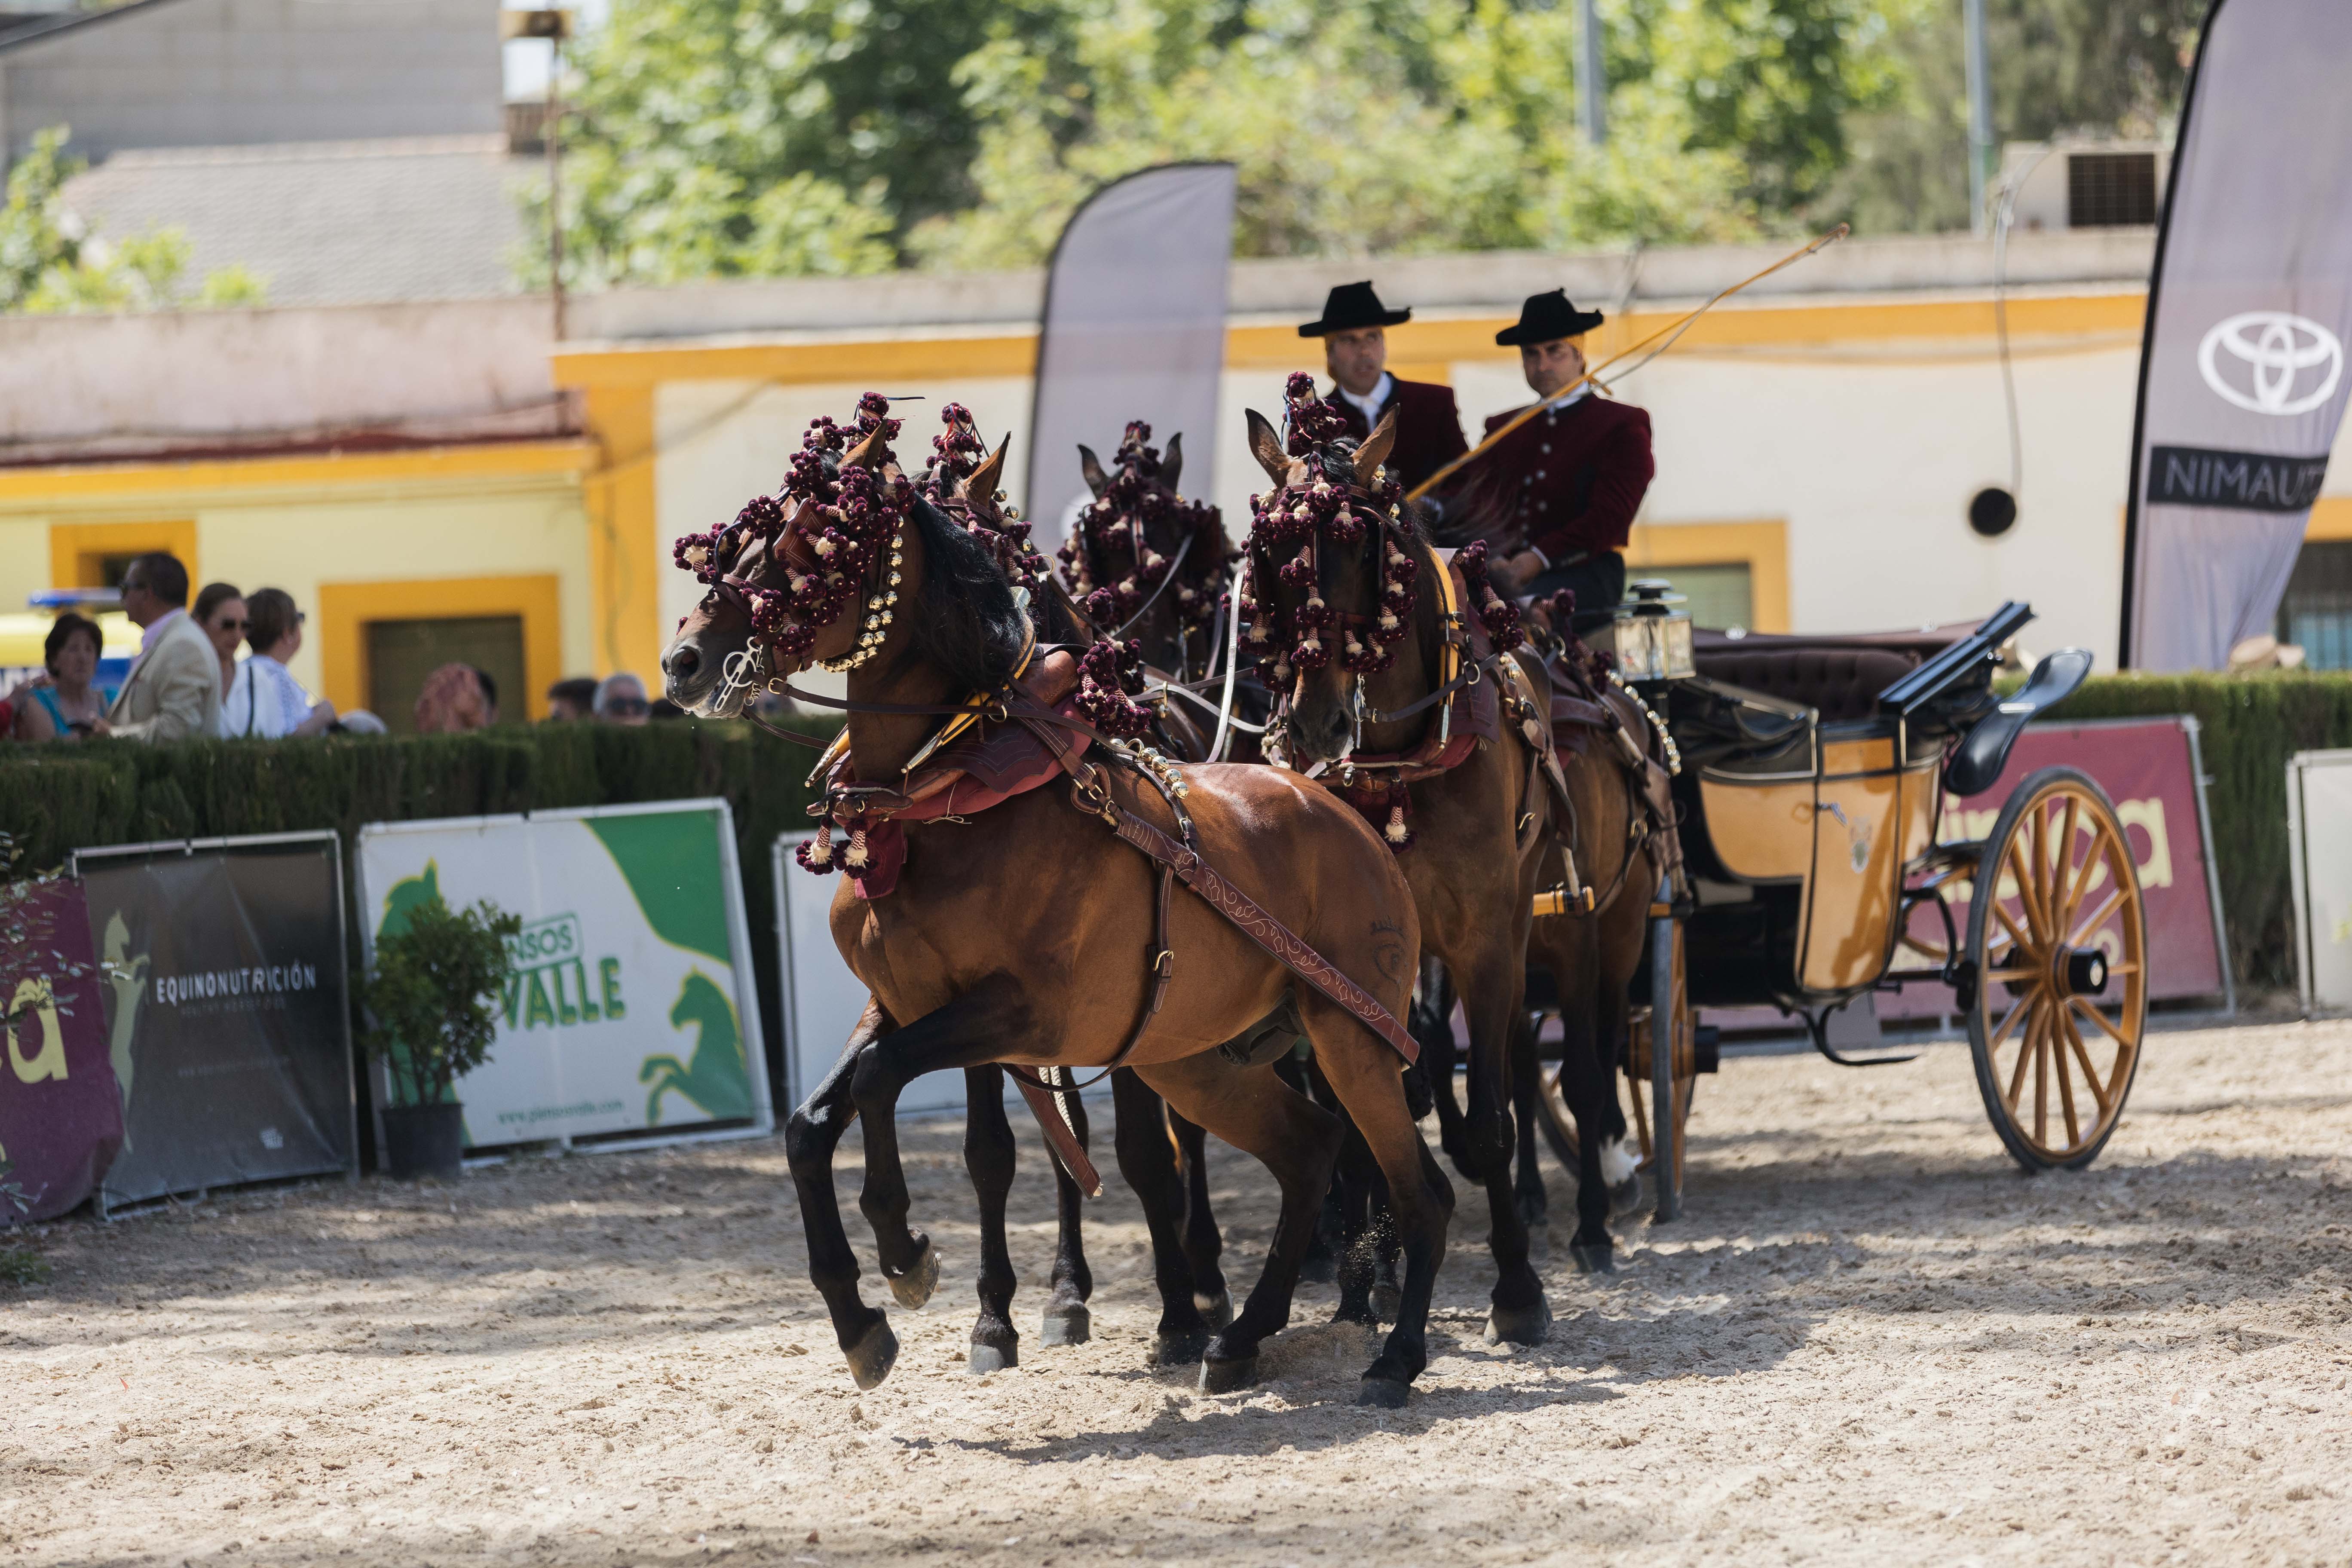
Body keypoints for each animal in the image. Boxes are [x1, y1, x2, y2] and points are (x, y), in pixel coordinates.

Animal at [654, 399, 1439, 1401]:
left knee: (1413, 1185)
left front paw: (905, 1252)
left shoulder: (1022, 1010)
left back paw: (1390, 1347)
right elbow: (812, 1124)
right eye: (739, 539)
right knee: (1308, 1149)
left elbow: (880, 1087)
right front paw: (862, 1316)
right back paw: (1243, 1334)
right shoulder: (900, 1001)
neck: (948, 789)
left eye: (802, 546)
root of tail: (1338, 804)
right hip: (1195, 1056)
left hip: (1351, 1035)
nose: (683, 660)